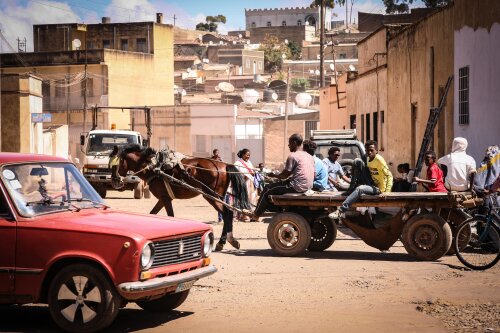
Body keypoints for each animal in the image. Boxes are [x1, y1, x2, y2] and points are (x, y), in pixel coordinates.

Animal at [116, 144, 250, 250]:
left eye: (118, 161)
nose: (115, 179)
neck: (154, 167)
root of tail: (223, 165)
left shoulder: (165, 198)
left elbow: (170, 216)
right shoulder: (163, 198)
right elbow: (153, 214)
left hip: (211, 196)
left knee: (227, 213)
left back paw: (224, 242)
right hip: (218, 197)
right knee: (228, 213)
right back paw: (228, 241)